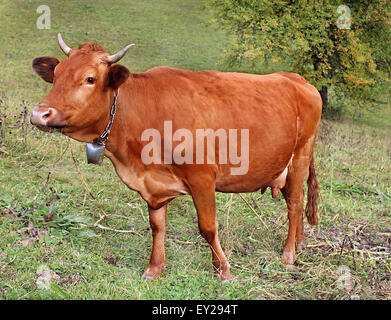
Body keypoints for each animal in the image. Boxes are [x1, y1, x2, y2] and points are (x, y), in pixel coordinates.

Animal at [31, 33, 322, 282]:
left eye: (90, 79)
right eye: (56, 74)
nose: (39, 114)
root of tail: (298, 79)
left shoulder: (202, 176)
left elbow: (207, 227)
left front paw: (223, 270)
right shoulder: (153, 185)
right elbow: (157, 226)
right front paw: (154, 268)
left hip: (300, 155)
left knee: (294, 205)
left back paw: (288, 255)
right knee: (296, 201)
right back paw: (299, 243)